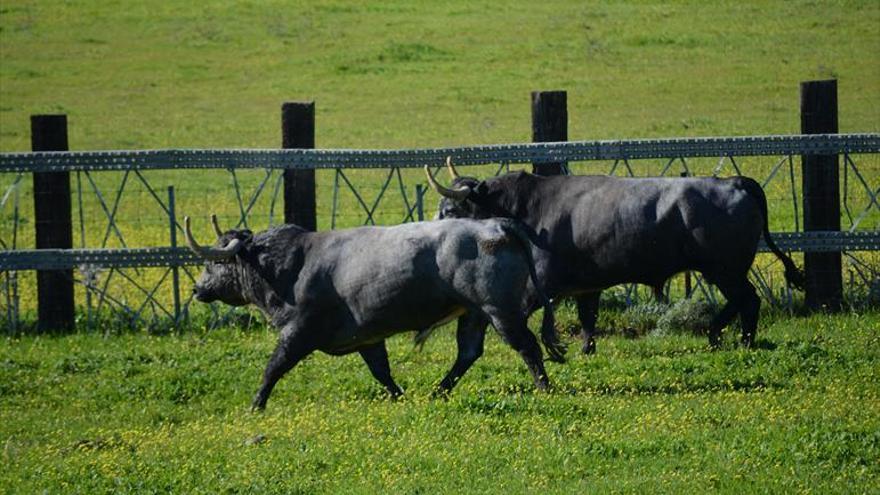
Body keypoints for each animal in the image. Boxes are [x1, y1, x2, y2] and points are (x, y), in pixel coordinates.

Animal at [185, 214, 564, 410]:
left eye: (216, 262)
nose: (197, 289)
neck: (293, 265)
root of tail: (494, 225)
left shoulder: (297, 332)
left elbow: (274, 367)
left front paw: (257, 404)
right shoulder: (367, 338)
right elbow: (382, 372)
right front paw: (399, 396)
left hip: (500, 311)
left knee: (527, 346)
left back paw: (545, 389)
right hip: (473, 314)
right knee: (468, 352)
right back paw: (438, 391)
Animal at [430, 160, 808, 352]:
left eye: (450, 209)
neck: (530, 206)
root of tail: (734, 182)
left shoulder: (544, 281)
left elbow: (526, 311)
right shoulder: (587, 285)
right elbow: (588, 318)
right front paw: (586, 349)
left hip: (725, 269)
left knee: (748, 299)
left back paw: (735, 339)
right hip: (724, 270)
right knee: (743, 300)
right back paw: (725, 336)